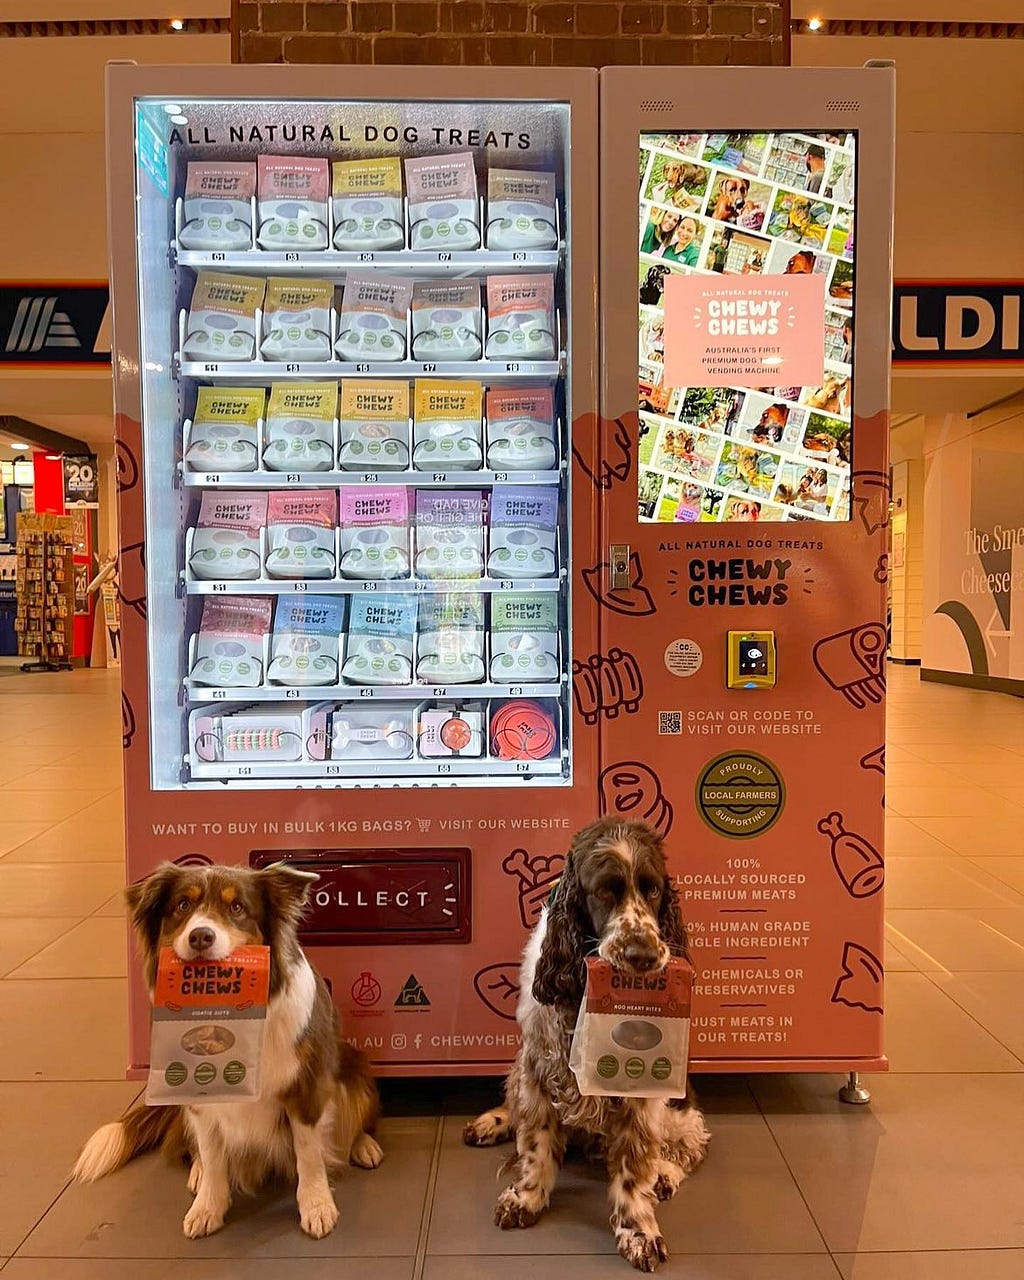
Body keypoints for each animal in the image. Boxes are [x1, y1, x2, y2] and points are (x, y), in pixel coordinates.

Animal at [72, 860, 381, 1239]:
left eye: (237, 907)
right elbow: (213, 1153)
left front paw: (317, 1205)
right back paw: (198, 1173)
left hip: (355, 1066)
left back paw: (364, 1146)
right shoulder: (199, 1096)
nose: (200, 936)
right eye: (182, 905)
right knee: (195, 1149)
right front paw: (208, 1207)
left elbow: (309, 1153)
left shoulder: (306, 1085)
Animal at [460, 819, 706, 1269]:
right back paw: (491, 1123)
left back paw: (665, 1172)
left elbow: (634, 1164)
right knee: (514, 1105)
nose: (643, 955)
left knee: (690, 1146)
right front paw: (527, 1198)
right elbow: (536, 1141)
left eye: (653, 889)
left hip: (681, 1109)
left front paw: (638, 1230)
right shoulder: (538, 1063)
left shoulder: (641, 1083)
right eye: (604, 891)